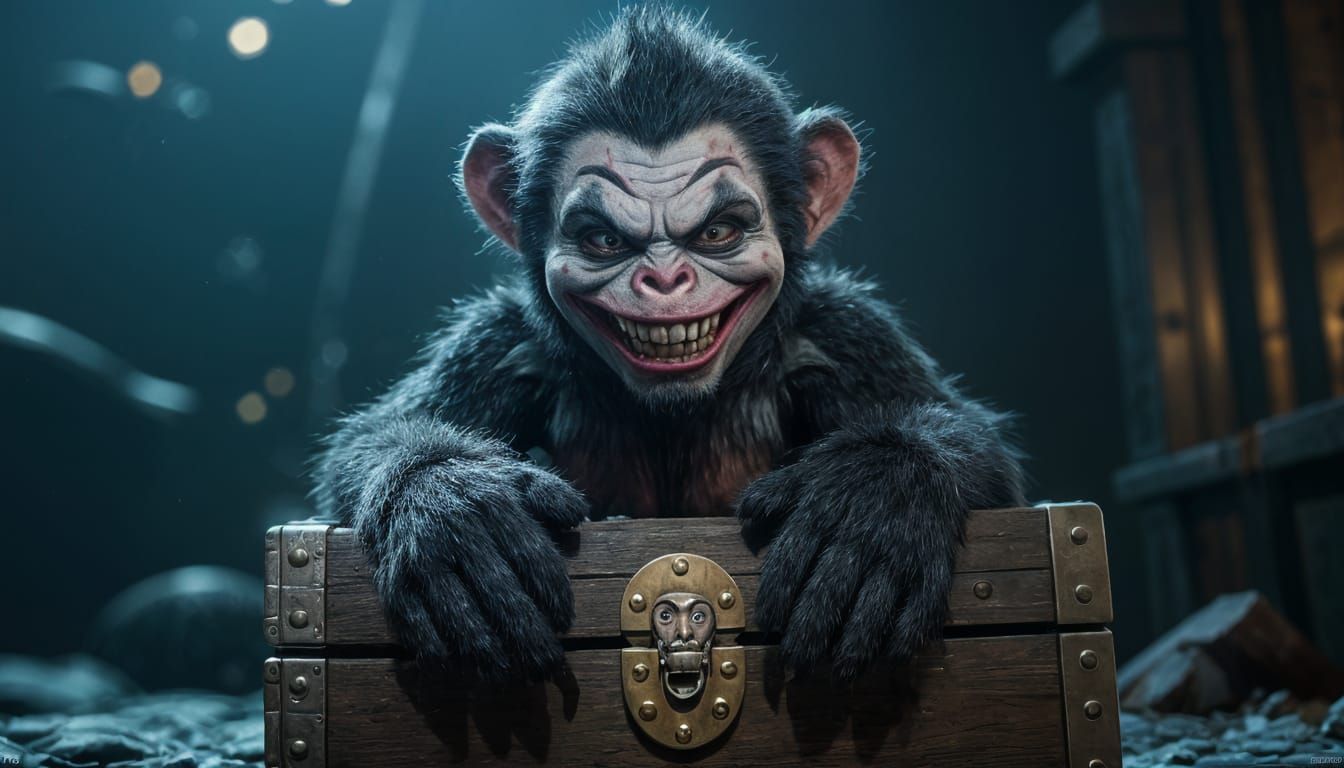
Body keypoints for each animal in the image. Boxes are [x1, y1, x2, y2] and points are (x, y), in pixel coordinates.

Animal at [314, 6, 1025, 683]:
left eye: (718, 231)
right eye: (603, 239)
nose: (663, 278)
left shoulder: (848, 333)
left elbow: (977, 448)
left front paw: (876, 499)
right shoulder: (494, 343)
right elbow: (376, 436)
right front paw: (448, 505)